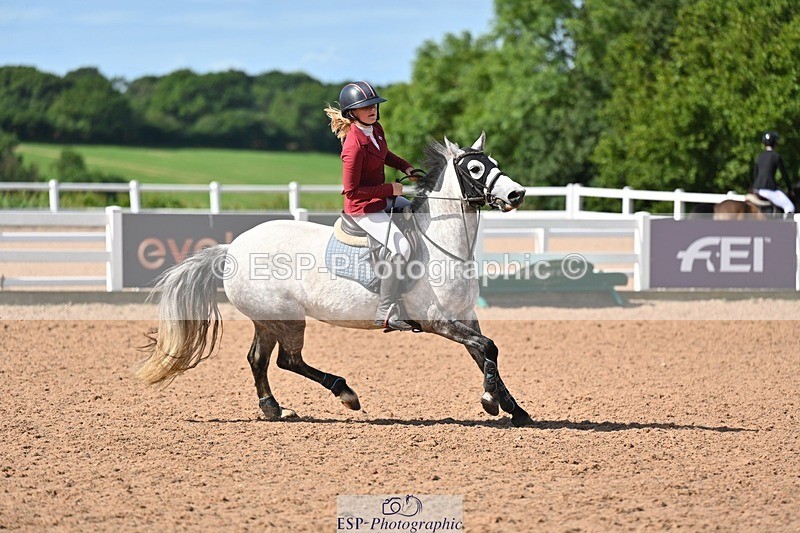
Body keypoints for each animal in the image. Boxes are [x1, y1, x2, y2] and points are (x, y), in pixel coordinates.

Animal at [135, 132, 535, 427]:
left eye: (495, 164)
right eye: (475, 168)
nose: (517, 193)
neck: (443, 244)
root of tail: (231, 248)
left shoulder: (465, 317)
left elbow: (486, 353)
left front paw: (515, 410)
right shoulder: (437, 320)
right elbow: (487, 348)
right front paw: (489, 402)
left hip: (268, 320)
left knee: (259, 359)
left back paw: (274, 408)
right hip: (286, 318)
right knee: (287, 361)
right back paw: (345, 394)